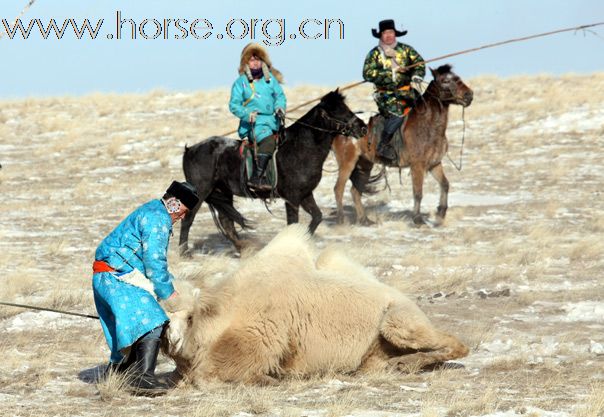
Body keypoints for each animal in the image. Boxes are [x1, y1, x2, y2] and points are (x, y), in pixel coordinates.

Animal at [179, 90, 368, 252]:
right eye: (337, 111)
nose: (363, 128)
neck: (300, 148)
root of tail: (190, 150)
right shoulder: (292, 198)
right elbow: (293, 223)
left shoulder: (305, 194)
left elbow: (317, 217)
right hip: (200, 192)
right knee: (188, 219)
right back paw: (185, 253)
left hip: (223, 193)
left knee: (227, 223)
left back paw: (243, 250)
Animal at [332, 64, 474, 224]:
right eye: (445, 81)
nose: (469, 95)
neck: (427, 125)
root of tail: (341, 127)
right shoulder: (417, 166)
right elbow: (418, 192)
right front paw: (417, 219)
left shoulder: (434, 164)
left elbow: (445, 184)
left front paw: (441, 213)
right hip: (347, 163)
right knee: (338, 189)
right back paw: (342, 220)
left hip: (364, 164)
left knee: (355, 191)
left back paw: (365, 220)